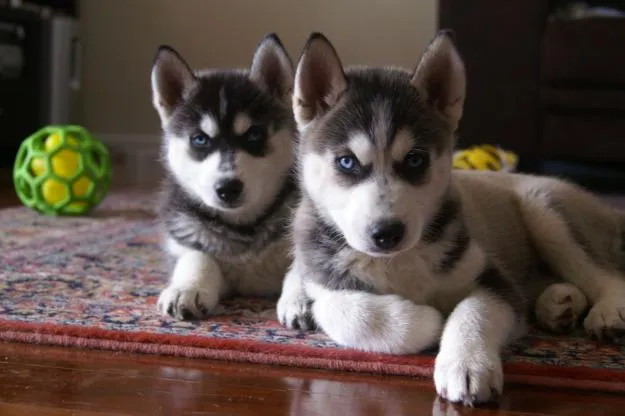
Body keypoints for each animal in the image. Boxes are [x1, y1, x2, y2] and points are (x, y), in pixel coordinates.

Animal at [151, 34, 298, 320]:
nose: (228, 188)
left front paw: (302, 297)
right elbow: (197, 256)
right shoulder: (183, 239)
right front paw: (187, 288)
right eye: (199, 139)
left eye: (254, 134)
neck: (242, 229)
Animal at [276, 31, 624, 406]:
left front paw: (467, 364)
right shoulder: (325, 279)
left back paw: (607, 311)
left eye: (415, 160)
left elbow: (473, 311)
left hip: (545, 210)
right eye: (346, 162)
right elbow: (345, 312)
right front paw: (426, 320)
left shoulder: (492, 278)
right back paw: (559, 305)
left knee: (604, 271)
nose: (387, 233)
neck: (397, 263)